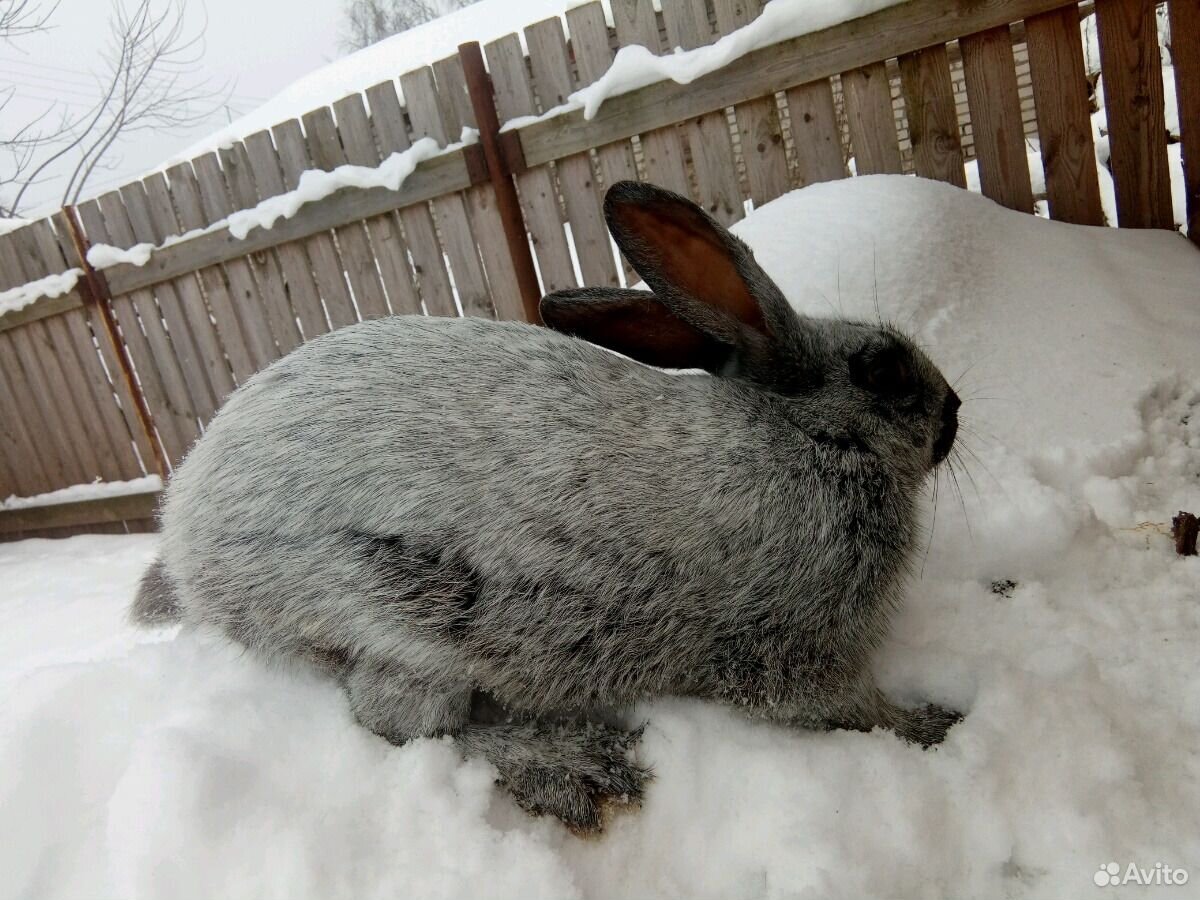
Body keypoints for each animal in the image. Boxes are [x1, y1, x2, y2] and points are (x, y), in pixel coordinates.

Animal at [133, 180, 964, 830]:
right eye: (884, 370)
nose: (956, 413)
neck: (812, 434)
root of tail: (185, 532)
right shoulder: (796, 649)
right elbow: (849, 706)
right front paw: (934, 724)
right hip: (403, 619)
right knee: (402, 725)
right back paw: (574, 765)